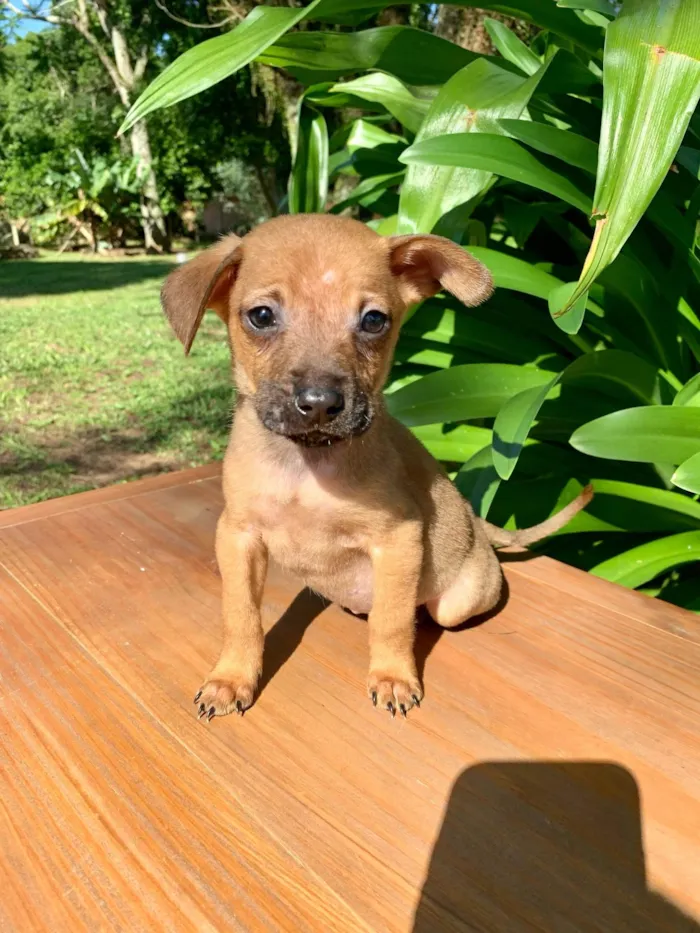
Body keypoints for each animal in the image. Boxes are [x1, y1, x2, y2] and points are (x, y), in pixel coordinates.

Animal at [163, 215, 592, 716]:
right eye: (262, 316)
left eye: (373, 320)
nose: (320, 403)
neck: (308, 465)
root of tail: (477, 526)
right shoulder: (238, 537)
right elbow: (241, 615)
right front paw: (231, 678)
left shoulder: (397, 539)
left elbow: (391, 620)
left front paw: (393, 676)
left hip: (458, 600)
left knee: (426, 611)